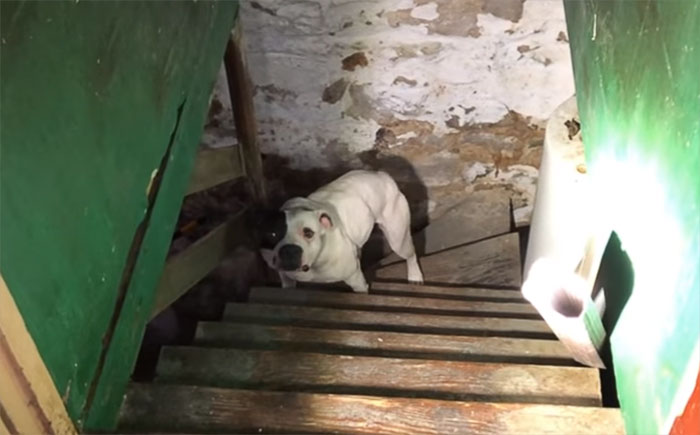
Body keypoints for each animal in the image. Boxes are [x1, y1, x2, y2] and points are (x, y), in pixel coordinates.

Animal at [256, 170, 424, 292]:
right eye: (272, 234)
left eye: (309, 233)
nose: (289, 250)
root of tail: (382, 176)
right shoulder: (286, 277)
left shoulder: (357, 282)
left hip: (398, 238)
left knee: (410, 254)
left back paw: (415, 276)